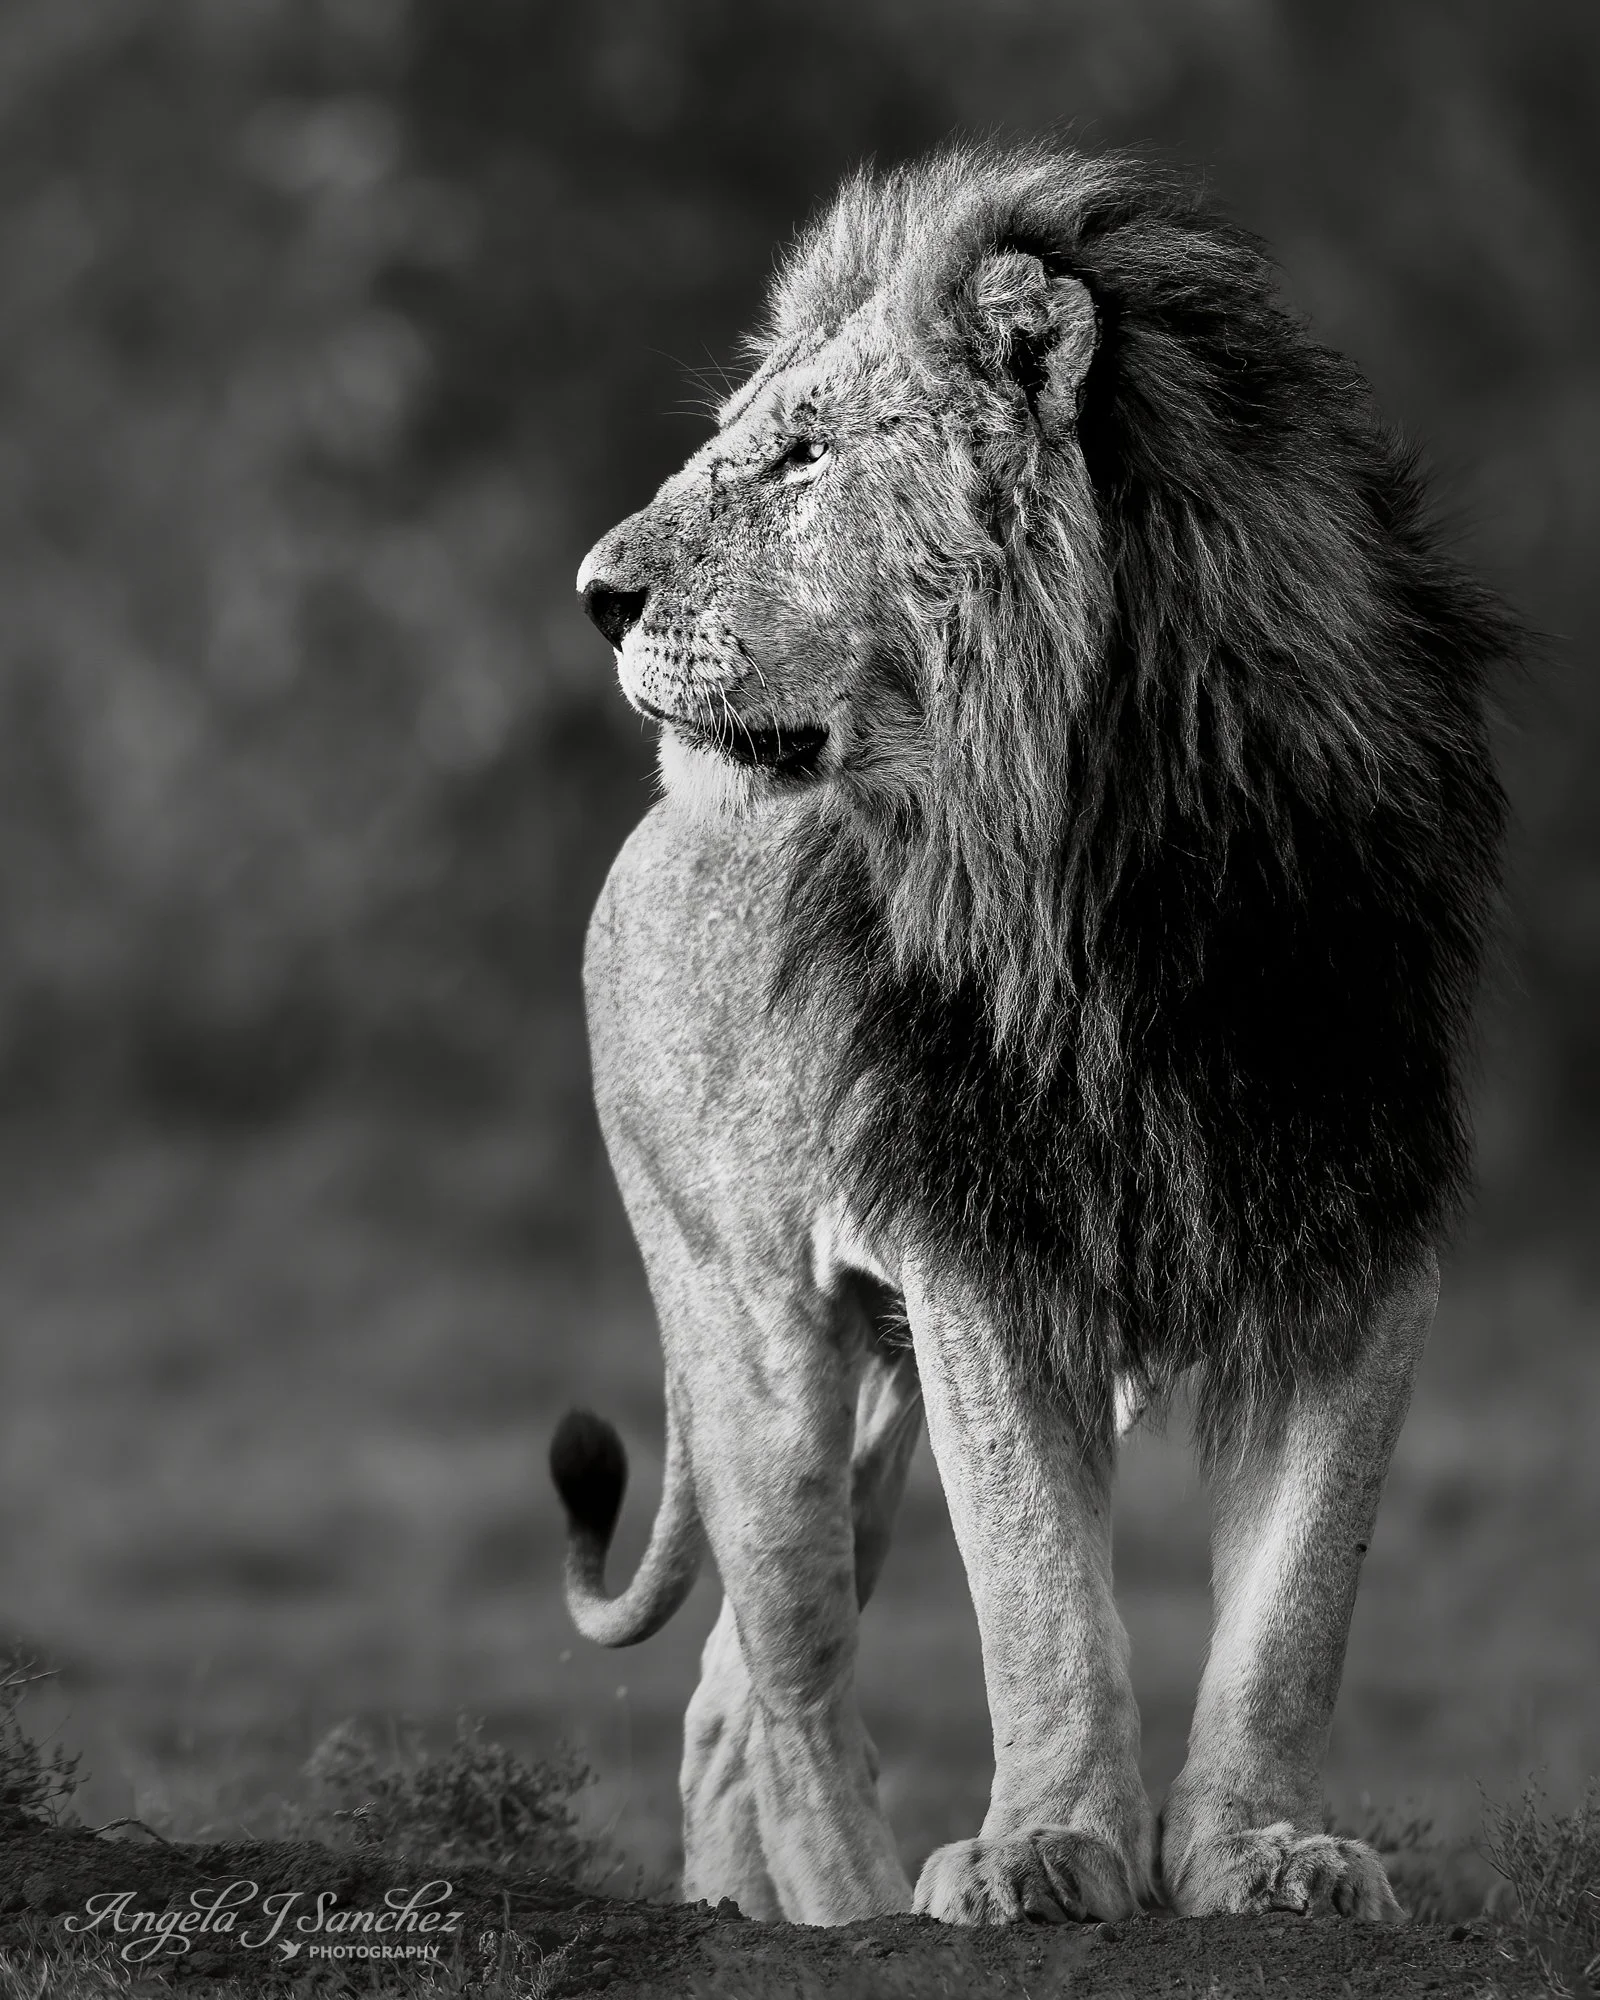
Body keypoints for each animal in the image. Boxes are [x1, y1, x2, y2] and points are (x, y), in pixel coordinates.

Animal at [551, 145, 1511, 1928]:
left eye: (804, 453)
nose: (596, 595)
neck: (1117, 857)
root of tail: (647, 837)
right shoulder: (979, 1235)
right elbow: (1038, 1598)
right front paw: (1048, 1847)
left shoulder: (1360, 1224)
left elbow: (1297, 1607)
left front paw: (1265, 1852)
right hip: (757, 1346)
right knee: (786, 1679)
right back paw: (852, 1906)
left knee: (724, 1693)